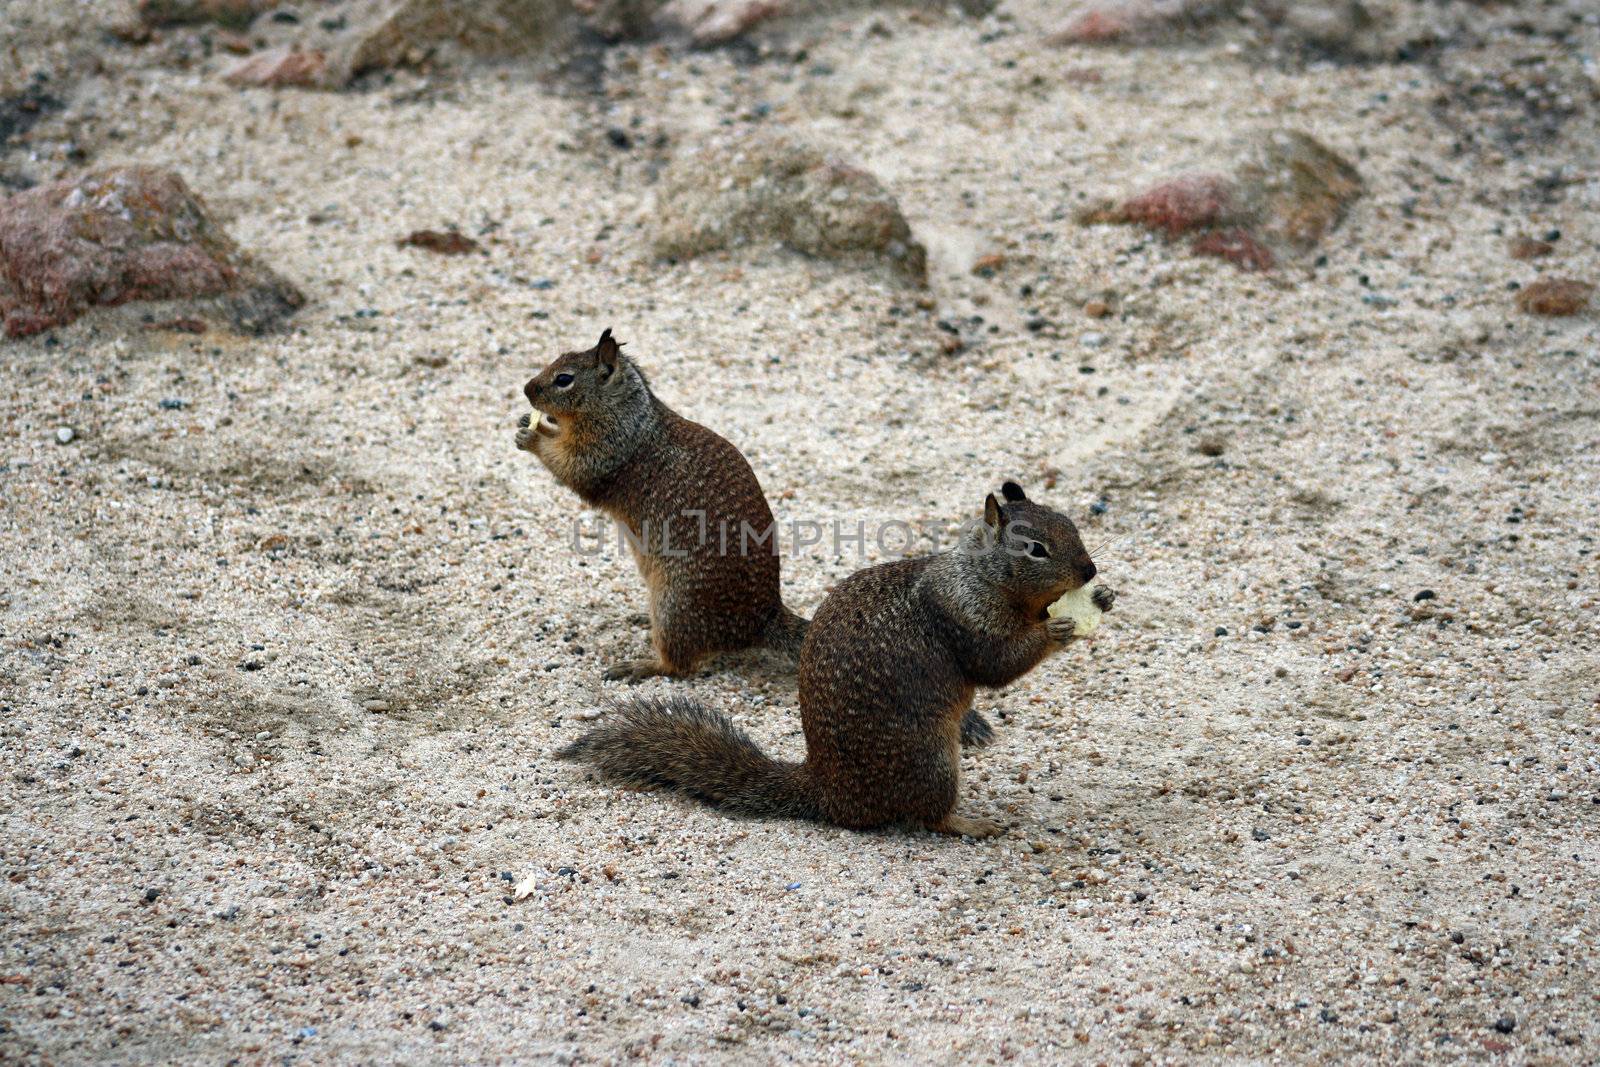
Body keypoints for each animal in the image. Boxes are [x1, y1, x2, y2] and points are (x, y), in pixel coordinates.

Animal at [515, 327, 806, 684]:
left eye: (564, 379)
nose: (526, 389)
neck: (627, 412)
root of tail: (763, 620)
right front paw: (532, 422)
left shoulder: (602, 452)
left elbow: (568, 466)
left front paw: (533, 437)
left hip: (674, 607)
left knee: (680, 665)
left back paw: (638, 665)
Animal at [556, 479, 1120, 838]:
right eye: (1036, 548)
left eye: (1070, 523)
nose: (1090, 571)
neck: (979, 575)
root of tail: (827, 791)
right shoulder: (964, 616)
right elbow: (997, 664)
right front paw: (1059, 630)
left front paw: (1104, 598)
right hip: (935, 762)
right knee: (928, 817)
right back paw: (972, 824)